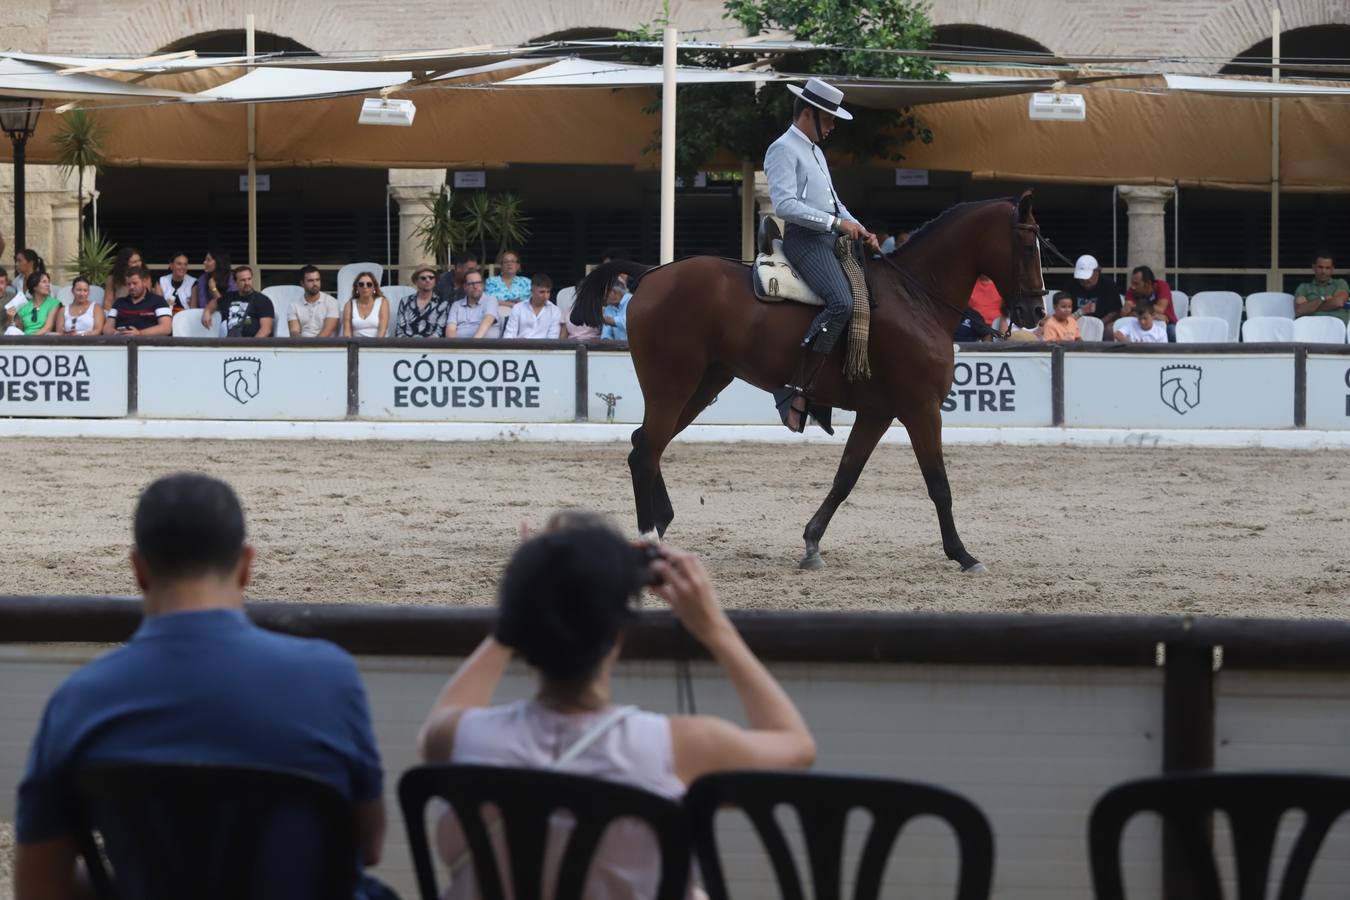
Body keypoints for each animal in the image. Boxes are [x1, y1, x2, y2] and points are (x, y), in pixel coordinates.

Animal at [575, 191, 1047, 569]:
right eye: (1027, 245)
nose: (1036, 312)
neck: (915, 297)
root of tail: (651, 274)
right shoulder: (921, 408)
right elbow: (938, 483)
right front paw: (962, 554)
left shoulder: (878, 413)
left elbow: (845, 477)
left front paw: (812, 543)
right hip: (671, 385)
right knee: (645, 452)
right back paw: (650, 539)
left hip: (703, 385)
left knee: (644, 444)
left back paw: (662, 521)